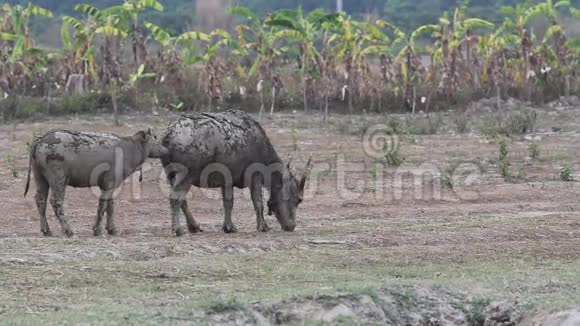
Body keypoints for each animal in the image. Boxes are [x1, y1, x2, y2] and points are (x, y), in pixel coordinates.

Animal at [23, 128, 167, 237]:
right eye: (155, 138)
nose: (165, 150)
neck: (129, 148)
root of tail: (41, 139)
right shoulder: (109, 185)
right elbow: (102, 206)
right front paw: (97, 229)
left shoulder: (109, 186)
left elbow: (110, 206)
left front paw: (112, 229)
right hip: (58, 181)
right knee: (56, 202)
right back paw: (68, 231)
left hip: (40, 179)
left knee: (40, 200)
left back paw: (46, 230)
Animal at [159, 109, 312, 237]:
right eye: (298, 199)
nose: (292, 225)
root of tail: (168, 134)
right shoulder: (255, 176)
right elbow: (258, 202)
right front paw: (263, 226)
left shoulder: (227, 181)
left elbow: (228, 203)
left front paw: (229, 227)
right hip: (186, 175)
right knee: (175, 198)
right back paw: (178, 230)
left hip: (171, 174)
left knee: (182, 200)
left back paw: (194, 226)